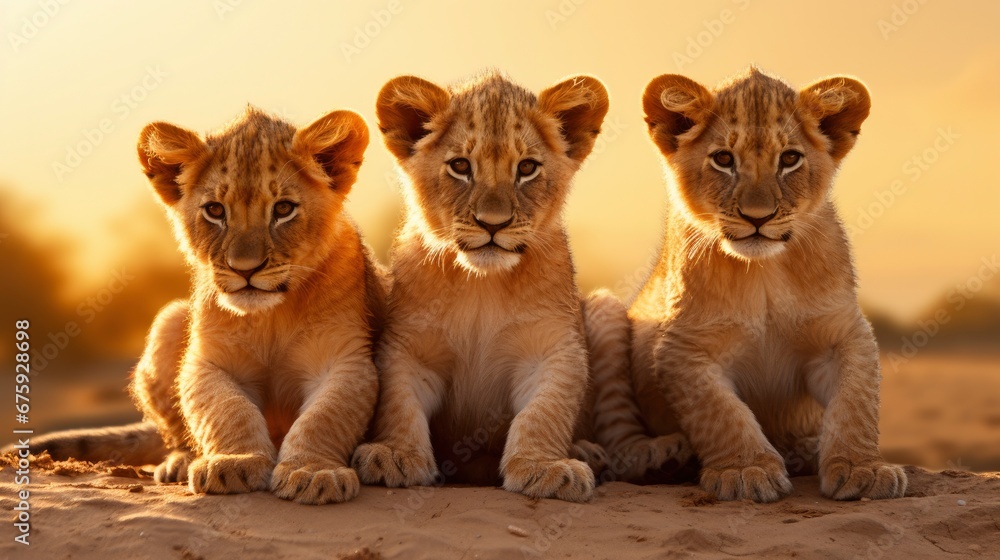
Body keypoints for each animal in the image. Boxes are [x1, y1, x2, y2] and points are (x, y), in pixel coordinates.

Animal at [629, 67, 907, 502]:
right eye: (724, 159)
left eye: (789, 159)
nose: (757, 216)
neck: (763, 274)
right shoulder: (684, 348)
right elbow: (721, 413)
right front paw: (746, 470)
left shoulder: (843, 333)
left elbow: (856, 402)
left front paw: (863, 468)